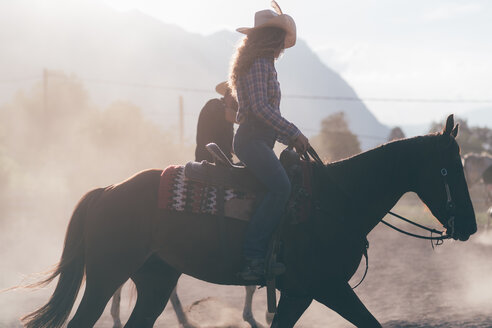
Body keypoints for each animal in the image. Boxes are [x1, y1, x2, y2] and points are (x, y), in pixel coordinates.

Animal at [21, 114, 474, 326]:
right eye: (450, 168)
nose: (469, 226)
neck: (333, 201)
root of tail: (109, 189)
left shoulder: (300, 294)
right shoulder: (327, 288)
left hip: (155, 279)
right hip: (105, 276)